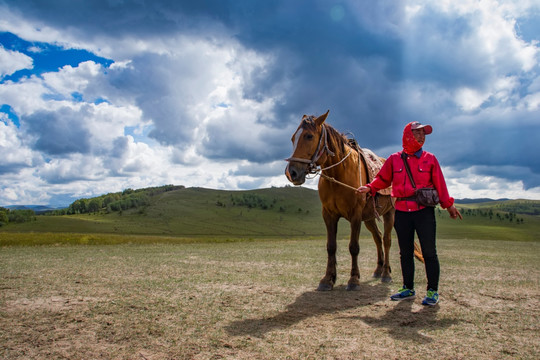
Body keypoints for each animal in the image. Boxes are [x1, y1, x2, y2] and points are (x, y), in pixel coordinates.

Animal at [286, 111, 418, 292]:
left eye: (309, 136)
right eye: (293, 138)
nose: (291, 172)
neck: (338, 174)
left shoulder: (355, 215)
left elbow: (354, 247)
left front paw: (354, 279)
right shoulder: (328, 214)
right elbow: (331, 247)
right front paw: (327, 279)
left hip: (389, 214)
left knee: (386, 240)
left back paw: (386, 274)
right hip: (369, 218)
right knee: (378, 237)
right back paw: (378, 269)